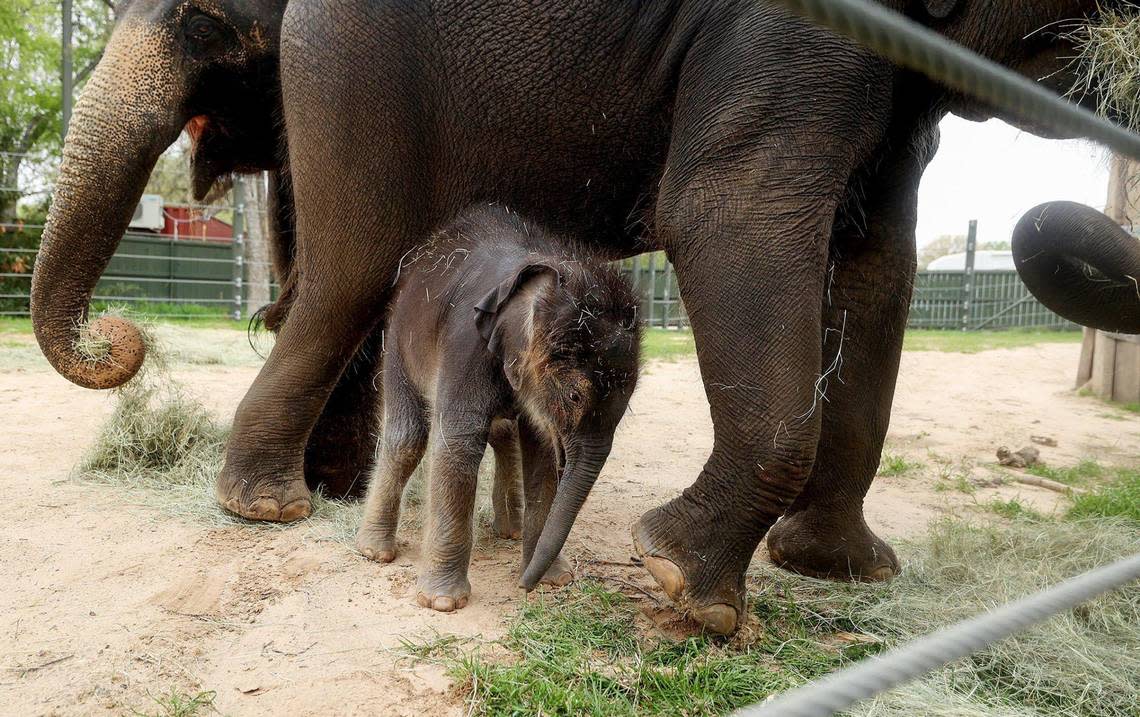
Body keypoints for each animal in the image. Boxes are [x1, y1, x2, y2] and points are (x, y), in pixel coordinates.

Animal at [355, 205, 642, 610]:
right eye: (574, 397)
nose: (523, 586)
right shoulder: (465, 342)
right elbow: (459, 439)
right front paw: (443, 602)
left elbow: (539, 451)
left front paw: (554, 578)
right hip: (397, 343)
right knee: (408, 436)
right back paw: (375, 552)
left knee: (504, 433)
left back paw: (511, 530)